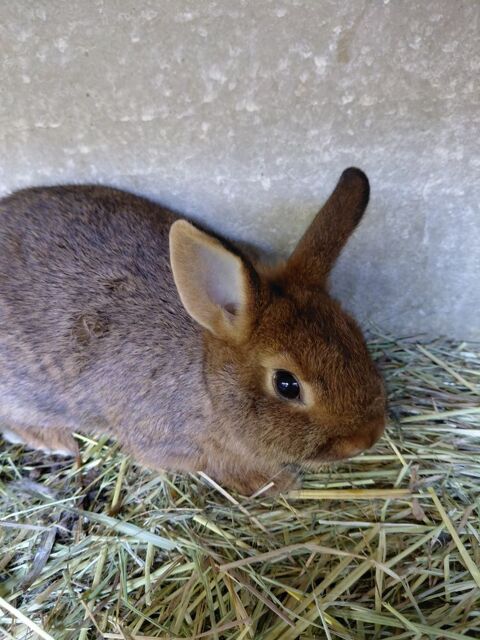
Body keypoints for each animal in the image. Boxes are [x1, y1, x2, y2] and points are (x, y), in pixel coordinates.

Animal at [0, 167, 385, 495]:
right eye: (287, 385)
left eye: (356, 335)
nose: (366, 439)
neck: (208, 382)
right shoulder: (166, 442)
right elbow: (212, 464)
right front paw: (274, 482)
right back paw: (55, 442)